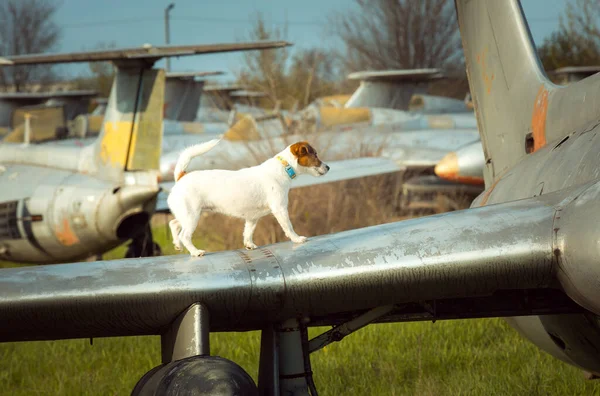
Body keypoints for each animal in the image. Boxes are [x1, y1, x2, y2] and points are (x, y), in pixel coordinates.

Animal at [166, 139, 330, 256]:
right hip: (192, 215)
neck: (284, 167)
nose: (328, 167)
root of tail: (181, 176)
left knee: (173, 223)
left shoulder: (252, 218)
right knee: (184, 235)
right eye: (315, 155)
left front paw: (249, 245)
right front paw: (297, 239)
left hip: (187, 214)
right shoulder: (280, 209)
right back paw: (195, 252)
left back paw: (177, 245)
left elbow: (248, 232)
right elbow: (288, 227)